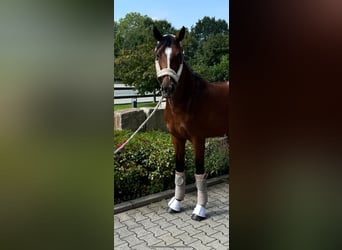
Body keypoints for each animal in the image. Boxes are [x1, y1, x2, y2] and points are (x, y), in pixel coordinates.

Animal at [153, 25, 228, 221]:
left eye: (179, 55)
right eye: (157, 55)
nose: (167, 88)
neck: (189, 99)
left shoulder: (198, 139)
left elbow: (199, 173)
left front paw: (200, 209)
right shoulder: (176, 138)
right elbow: (179, 171)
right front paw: (176, 203)